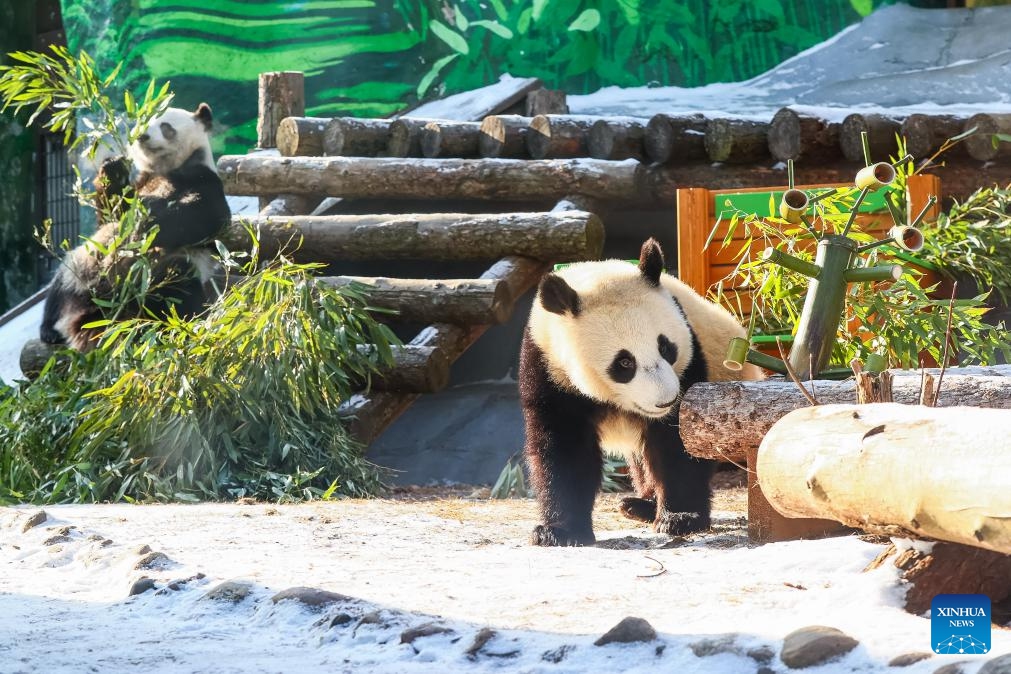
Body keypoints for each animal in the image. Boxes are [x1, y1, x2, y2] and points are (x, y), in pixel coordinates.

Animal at [39, 103, 231, 351]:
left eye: (166, 126)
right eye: (143, 121)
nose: (143, 136)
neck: (164, 168)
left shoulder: (202, 179)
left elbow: (202, 216)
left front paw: (149, 215)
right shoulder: (138, 186)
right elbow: (112, 214)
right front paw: (113, 169)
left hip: (154, 277)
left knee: (177, 284)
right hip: (82, 266)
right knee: (59, 288)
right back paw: (50, 330)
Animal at [520, 238, 764, 547]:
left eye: (666, 347)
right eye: (624, 362)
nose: (666, 400)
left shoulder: (691, 363)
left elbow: (675, 444)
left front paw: (680, 518)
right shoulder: (550, 369)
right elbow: (564, 448)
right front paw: (559, 532)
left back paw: (646, 506)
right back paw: (639, 505)